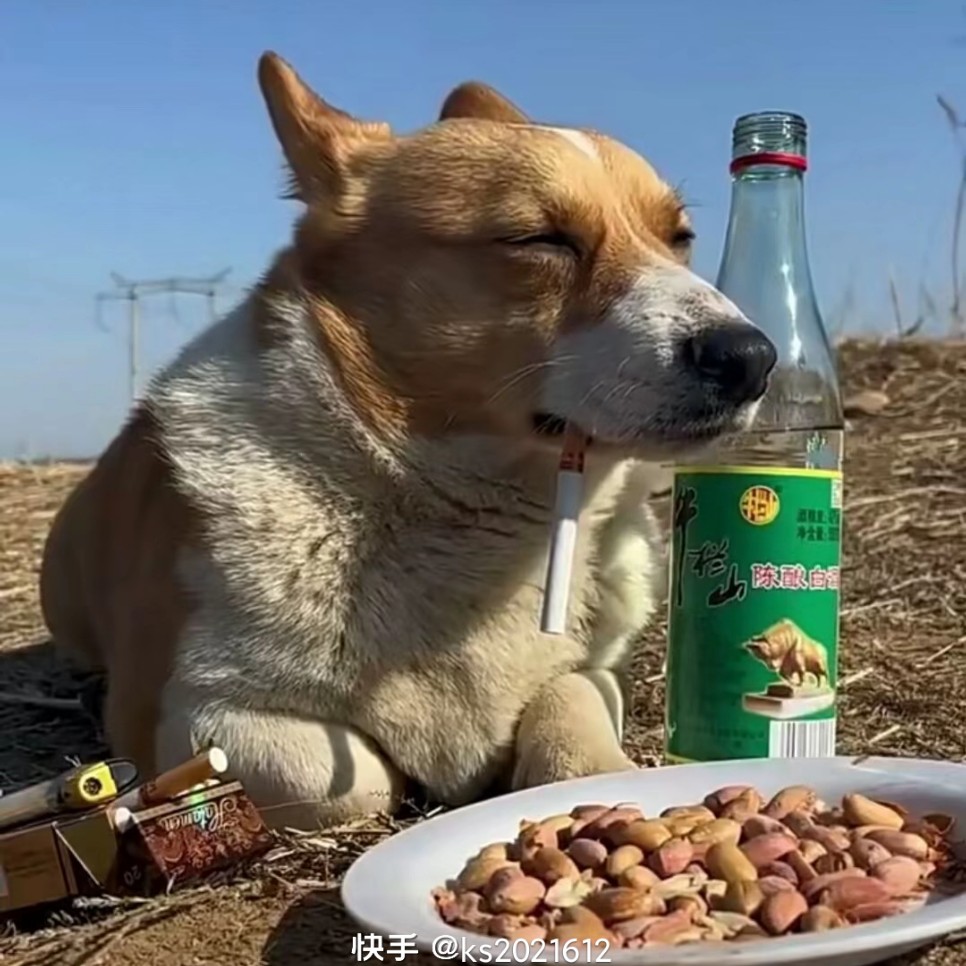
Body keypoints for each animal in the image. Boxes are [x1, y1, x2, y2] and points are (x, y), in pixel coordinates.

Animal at [39, 52, 776, 830]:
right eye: (539, 239)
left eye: (679, 237)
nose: (752, 358)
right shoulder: (184, 711)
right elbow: (351, 775)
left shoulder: (596, 669)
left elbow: (571, 704)